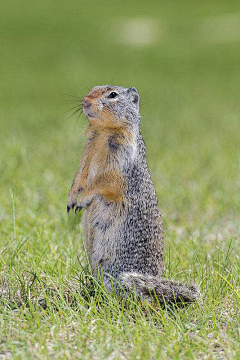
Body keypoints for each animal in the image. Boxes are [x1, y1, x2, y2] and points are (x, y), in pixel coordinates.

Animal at [66, 84, 198, 304]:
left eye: (113, 95)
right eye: (93, 88)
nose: (85, 101)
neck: (103, 133)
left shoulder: (120, 161)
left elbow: (103, 182)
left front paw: (83, 199)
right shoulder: (86, 154)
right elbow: (79, 176)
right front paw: (71, 200)